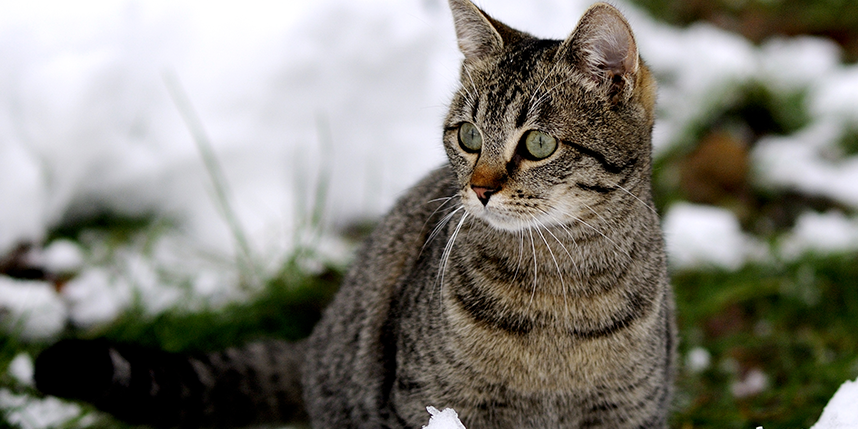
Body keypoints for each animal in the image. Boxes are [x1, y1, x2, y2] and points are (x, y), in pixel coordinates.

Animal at [35, 1, 676, 426]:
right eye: (468, 136)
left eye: (538, 144)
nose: (479, 189)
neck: (561, 291)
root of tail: (315, 338)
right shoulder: (424, 404)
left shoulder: (629, 413)